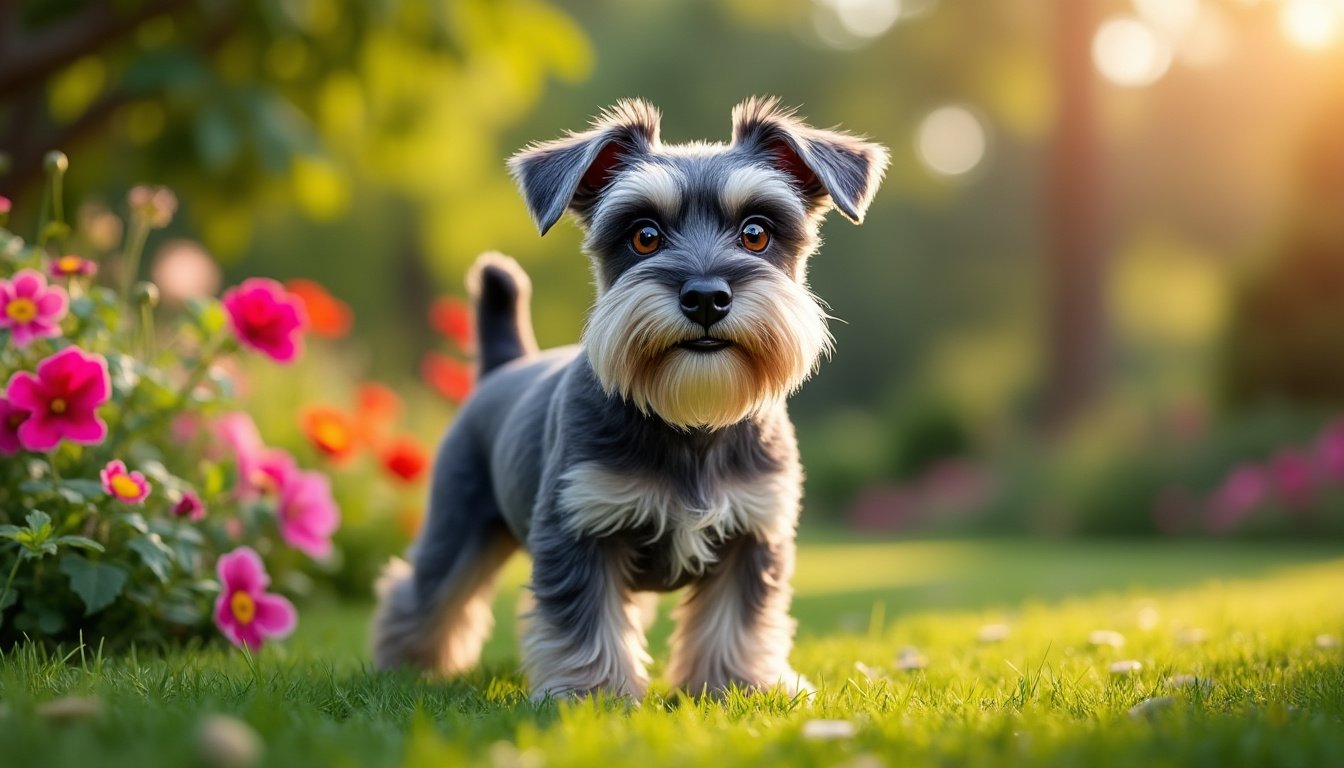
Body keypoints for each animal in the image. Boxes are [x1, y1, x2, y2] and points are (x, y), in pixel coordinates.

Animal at [373, 94, 887, 699]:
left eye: (756, 233)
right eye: (644, 236)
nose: (706, 297)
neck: (689, 425)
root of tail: (503, 366)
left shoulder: (754, 531)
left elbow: (737, 621)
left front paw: (742, 684)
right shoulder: (579, 525)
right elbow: (585, 618)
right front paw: (591, 693)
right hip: (458, 522)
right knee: (426, 592)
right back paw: (405, 665)